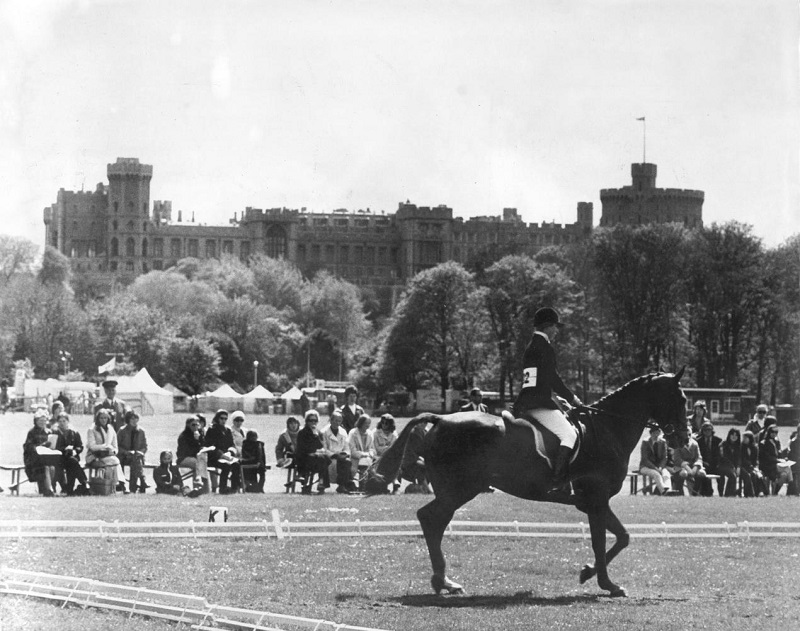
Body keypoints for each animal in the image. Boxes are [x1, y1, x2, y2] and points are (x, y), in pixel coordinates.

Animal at [366, 368, 684, 600]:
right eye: (680, 400)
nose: (682, 437)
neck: (607, 429)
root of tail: (441, 419)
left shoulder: (593, 502)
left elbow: (622, 537)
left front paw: (589, 573)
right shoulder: (595, 499)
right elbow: (601, 541)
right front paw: (607, 583)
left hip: (454, 491)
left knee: (434, 522)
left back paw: (444, 581)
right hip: (459, 490)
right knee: (431, 519)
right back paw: (443, 581)